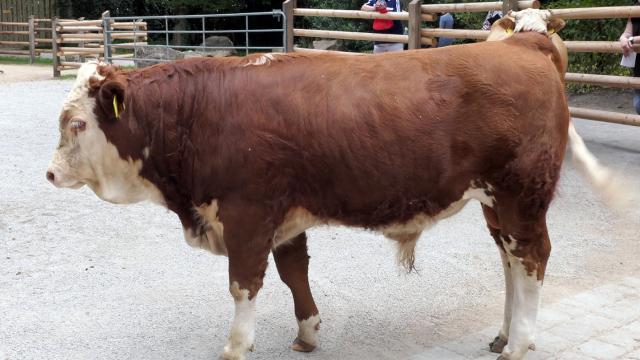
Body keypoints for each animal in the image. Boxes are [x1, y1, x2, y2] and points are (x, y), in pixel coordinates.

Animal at [46, 9, 616, 360]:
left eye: (76, 123)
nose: (49, 173)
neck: (200, 112)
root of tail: (527, 45)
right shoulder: (283, 213)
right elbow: (292, 272)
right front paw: (307, 333)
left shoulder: (248, 213)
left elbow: (243, 283)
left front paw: (237, 345)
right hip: (495, 202)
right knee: (510, 260)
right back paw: (503, 334)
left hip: (522, 194)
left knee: (532, 258)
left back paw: (519, 344)